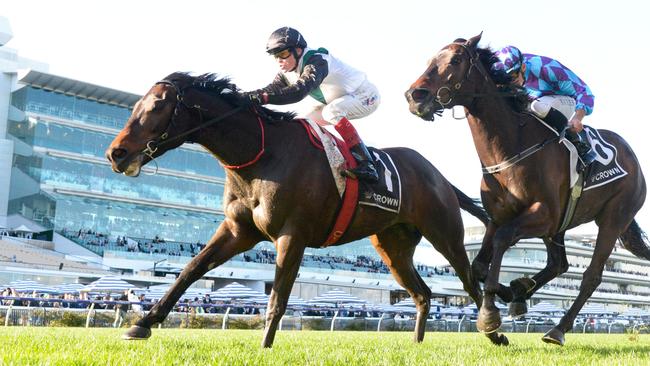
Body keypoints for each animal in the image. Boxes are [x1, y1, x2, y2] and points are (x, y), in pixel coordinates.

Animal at [104, 71, 506, 346]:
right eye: (137, 105)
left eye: (157, 105)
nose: (116, 153)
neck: (261, 154)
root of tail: (436, 174)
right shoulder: (238, 231)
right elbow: (189, 270)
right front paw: (143, 323)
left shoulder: (291, 235)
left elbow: (278, 296)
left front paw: (265, 347)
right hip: (393, 249)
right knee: (423, 293)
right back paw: (418, 342)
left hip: (445, 234)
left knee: (469, 280)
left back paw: (494, 332)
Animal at [402, 34, 644, 346]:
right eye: (430, 60)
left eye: (455, 60)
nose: (415, 95)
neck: (510, 148)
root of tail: (633, 159)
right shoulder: (501, 216)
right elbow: (479, 265)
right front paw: (511, 292)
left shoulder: (543, 214)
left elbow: (503, 240)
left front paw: (489, 314)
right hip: (561, 226)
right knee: (559, 264)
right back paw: (522, 291)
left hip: (614, 216)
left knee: (591, 276)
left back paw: (557, 329)